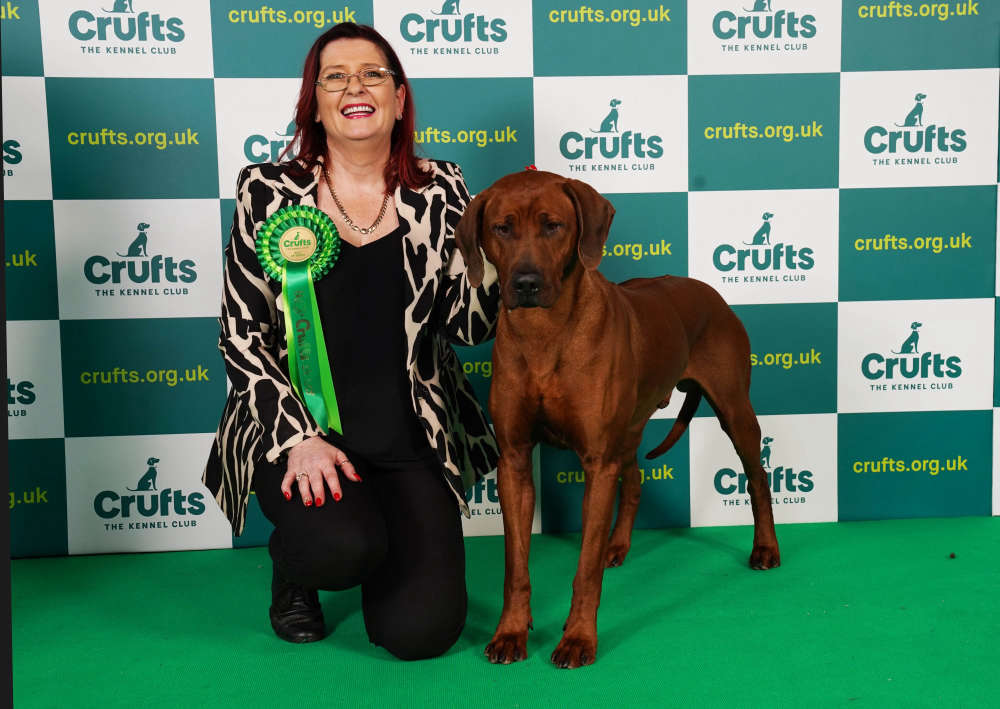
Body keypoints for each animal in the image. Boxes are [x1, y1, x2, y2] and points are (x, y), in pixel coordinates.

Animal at [456, 169, 780, 668]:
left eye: (553, 226)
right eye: (502, 228)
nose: (527, 283)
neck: (544, 333)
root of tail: (711, 291)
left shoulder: (596, 460)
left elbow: (584, 569)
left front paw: (578, 638)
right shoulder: (514, 459)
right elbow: (516, 565)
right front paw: (510, 631)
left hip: (733, 410)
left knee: (758, 477)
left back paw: (764, 547)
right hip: (628, 427)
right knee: (635, 481)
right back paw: (617, 543)